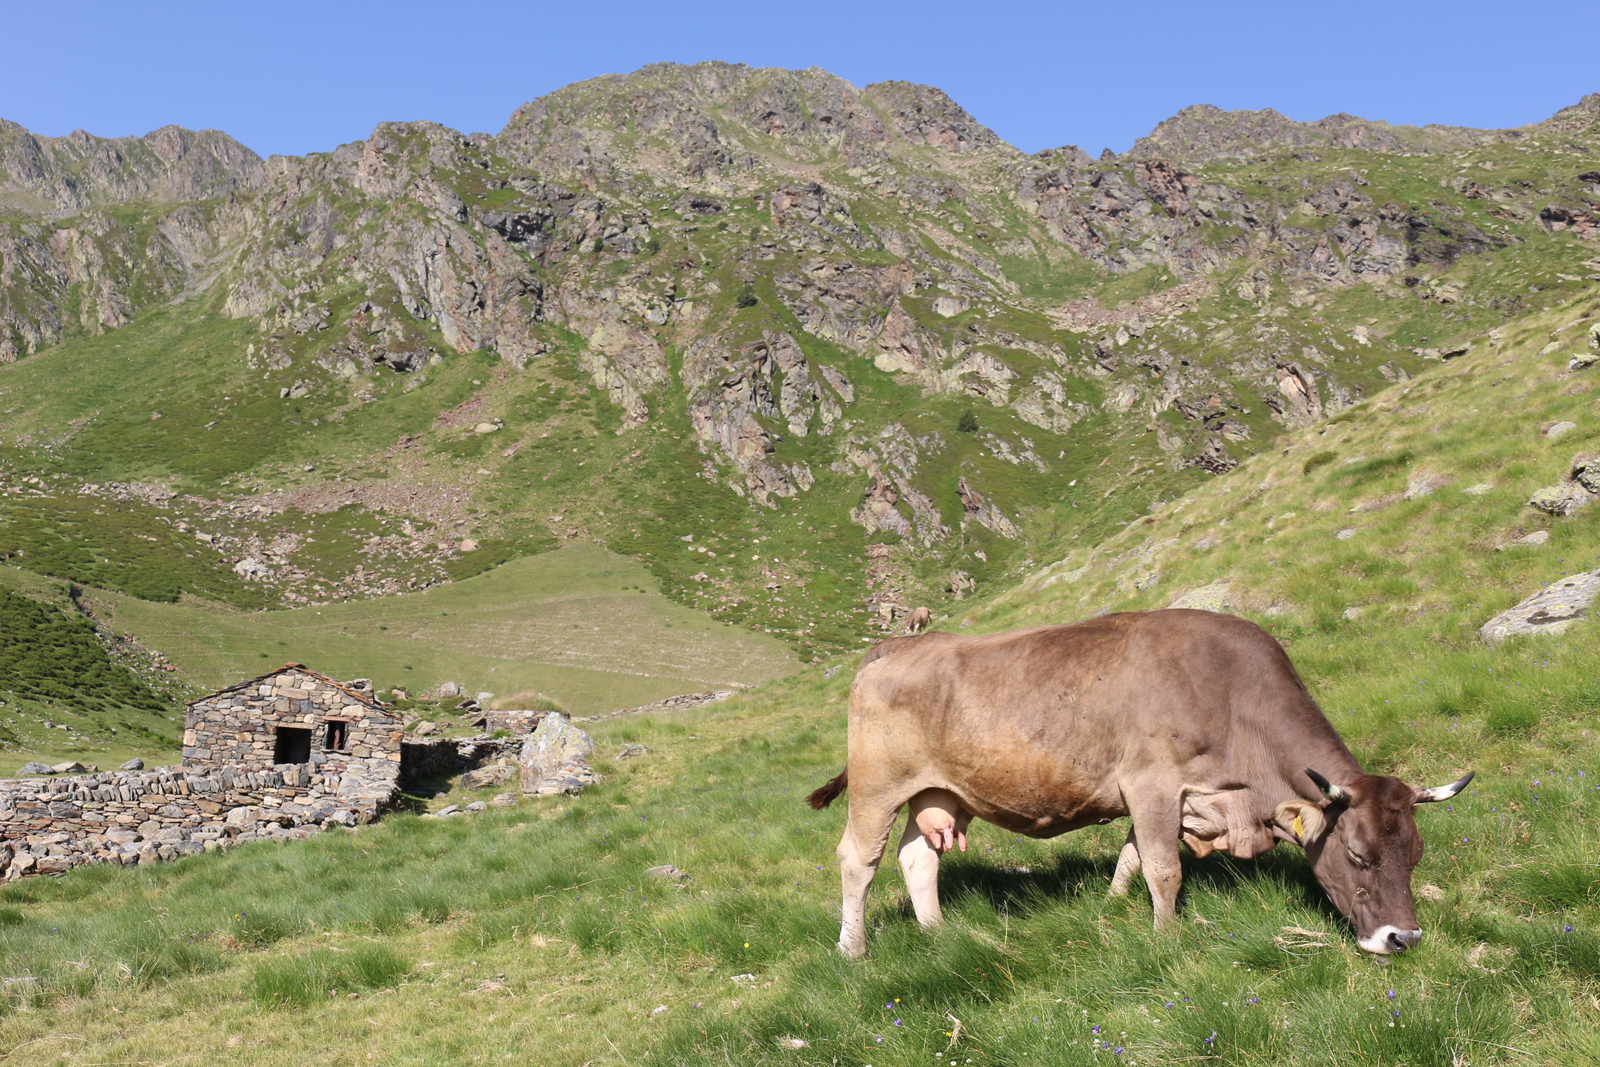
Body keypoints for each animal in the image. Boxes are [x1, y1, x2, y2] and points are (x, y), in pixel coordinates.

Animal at [812, 607, 1472, 959]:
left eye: (1416, 854)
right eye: (1359, 856)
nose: (1404, 938)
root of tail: (895, 646)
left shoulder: (1167, 799)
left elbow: (1132, 857)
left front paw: (1111, 910)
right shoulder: (1152, 783)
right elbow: (1163, 868)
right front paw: (1168, 938)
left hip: (941, 792)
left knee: (918, 856)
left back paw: (939, 934)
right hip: (877, 786)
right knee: (858, 859)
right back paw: (853, 950)